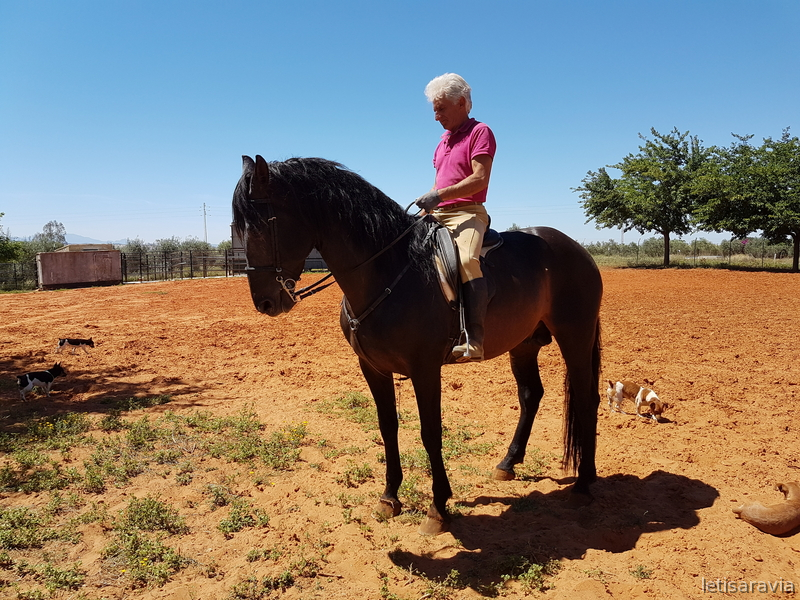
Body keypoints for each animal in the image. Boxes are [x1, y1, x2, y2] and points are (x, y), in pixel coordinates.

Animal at [232, 155, 603, 536]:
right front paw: (389, 498)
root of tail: (576, 249)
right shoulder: (373, 368)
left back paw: (583, 483)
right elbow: (388, 427)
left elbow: (430, 432)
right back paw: (508, 463)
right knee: (531, 395)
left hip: (575, 335)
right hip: (525, 344)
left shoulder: (425, 369)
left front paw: (438, 508)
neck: (388, 271)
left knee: (587, 397)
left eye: (259, 227)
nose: (265, 303)